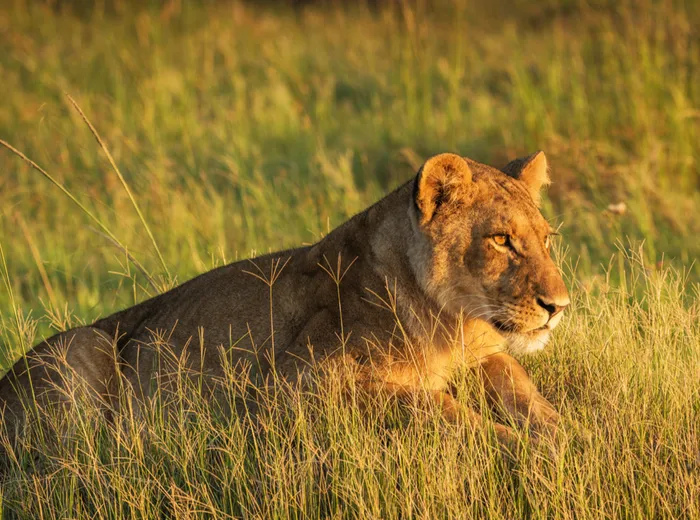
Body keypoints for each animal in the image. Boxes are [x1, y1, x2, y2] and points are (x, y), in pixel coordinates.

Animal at [0, 152, 570, 450]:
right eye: (501, 239)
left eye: (547, 238)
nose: (559, 306)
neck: (451, 322)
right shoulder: (293, 385)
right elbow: (432, 405)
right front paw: (523, 448)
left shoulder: (485, 355)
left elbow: (522, 387)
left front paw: (569, 436)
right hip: (83, 347)